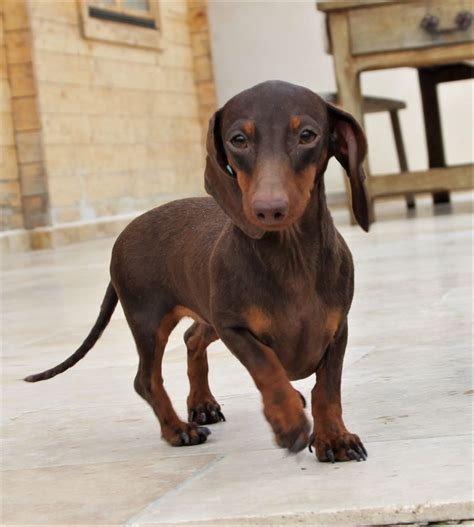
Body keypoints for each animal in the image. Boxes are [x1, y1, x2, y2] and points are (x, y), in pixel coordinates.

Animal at [25, 80, 370, 464]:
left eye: (307, 135)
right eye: (238, 139)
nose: (268, 210)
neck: (290, 257)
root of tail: (123, 235)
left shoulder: (337, 328)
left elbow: (327, 387)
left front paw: (334, 437)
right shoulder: (233, 327)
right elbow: (267, 368)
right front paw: (289, 421)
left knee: (192, 338)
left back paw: (202, 404)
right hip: (149, 319)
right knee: (147, 379)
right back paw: (178, 429)